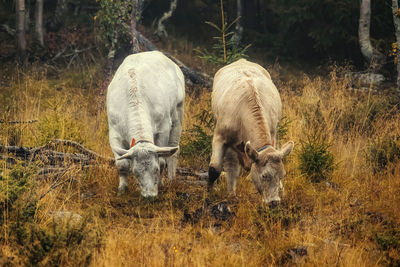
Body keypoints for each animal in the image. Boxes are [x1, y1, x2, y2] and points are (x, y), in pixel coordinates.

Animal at [108, 51, 186, 198]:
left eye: (155, 170)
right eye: (135, 172)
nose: (150, 196)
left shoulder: (163, 128)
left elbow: (162, 161)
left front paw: (161, 184)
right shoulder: (114, 132)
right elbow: (121, 164)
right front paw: (122, 189)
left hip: (178, 112)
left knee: (174, 151)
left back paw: (171, 179)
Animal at [209, 59, 294, 207]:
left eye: (282, 175)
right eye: (264, 175)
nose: (274, 202)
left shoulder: (273, 135)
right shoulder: (220, 136)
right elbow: (215, 169)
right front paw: (207, 194)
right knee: (231, 165)